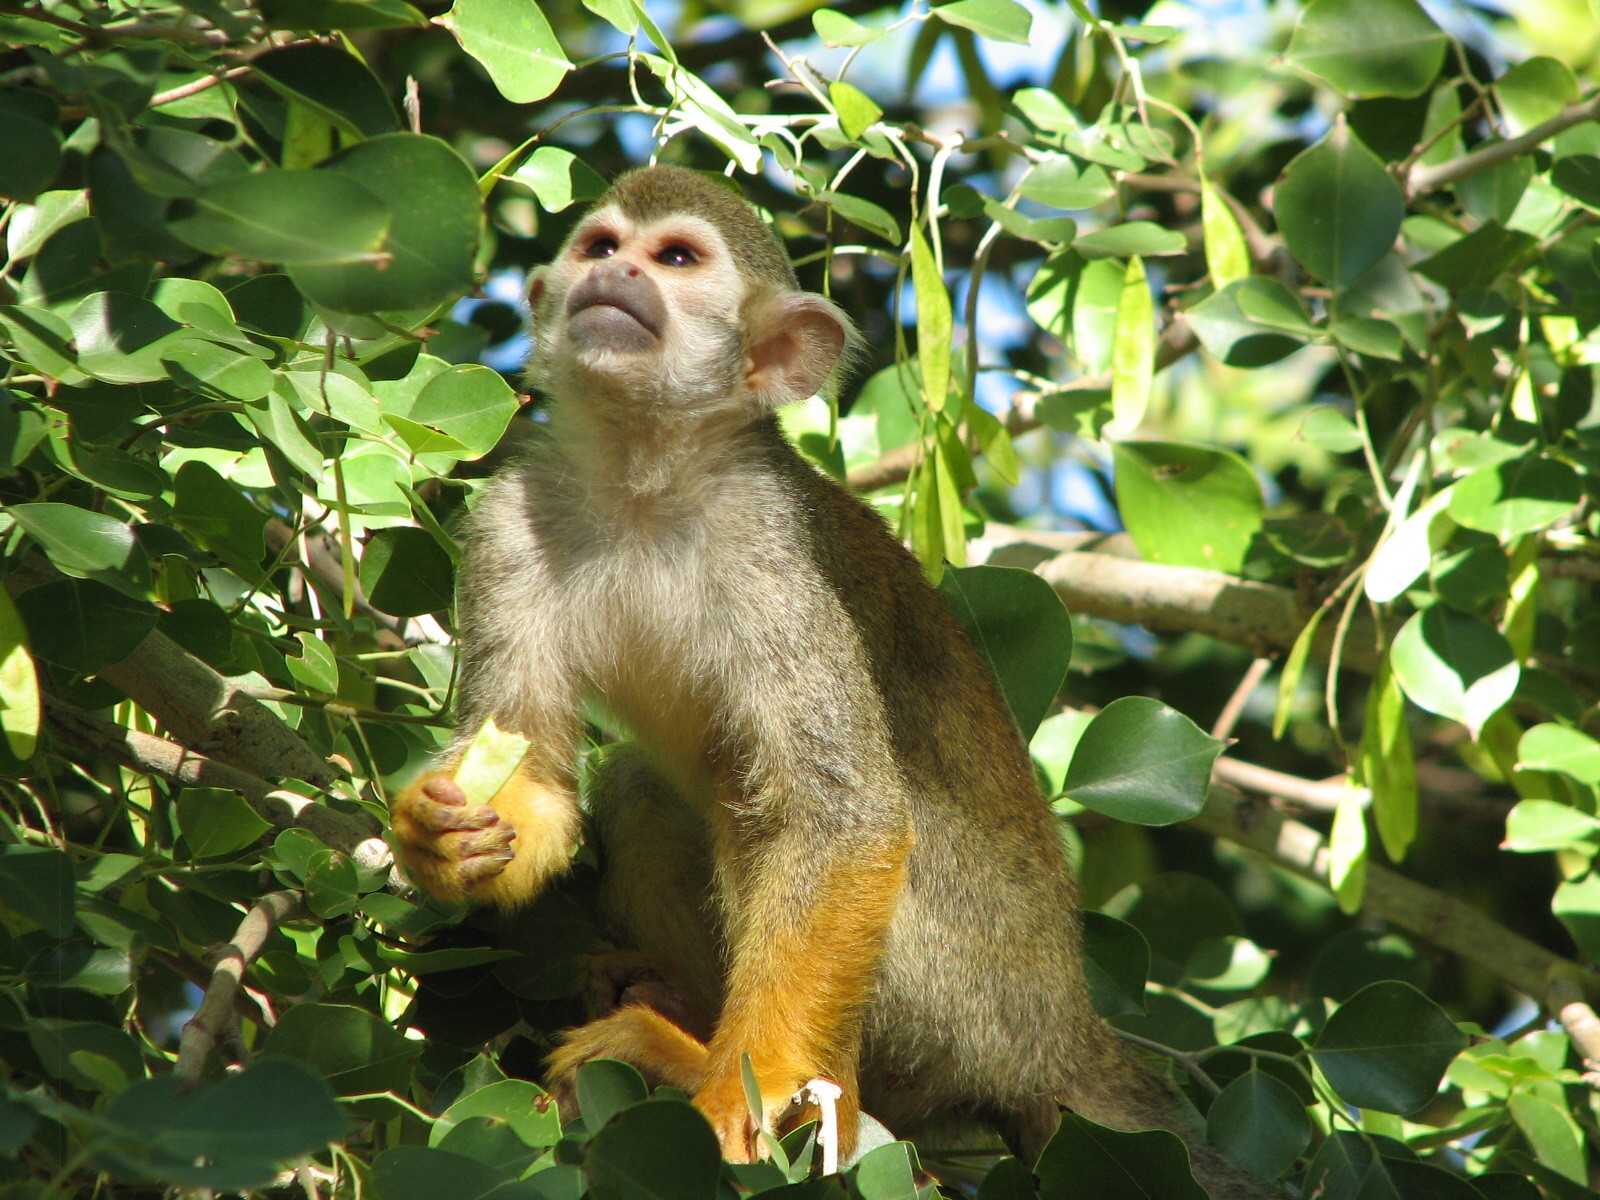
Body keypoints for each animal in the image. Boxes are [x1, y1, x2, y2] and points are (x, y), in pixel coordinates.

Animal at [388, 165, 1267, 1197]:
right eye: (600, 246)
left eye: (675, 259)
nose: (616, 276)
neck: (646, 480)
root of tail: (1062, 1032)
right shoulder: (509, 525)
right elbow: (533, 773)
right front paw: (441, 832)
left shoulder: (773, 550)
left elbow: (843, 822)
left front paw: (745, 1093)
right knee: (647, 786)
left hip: (966, 994)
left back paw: (723, 1068)